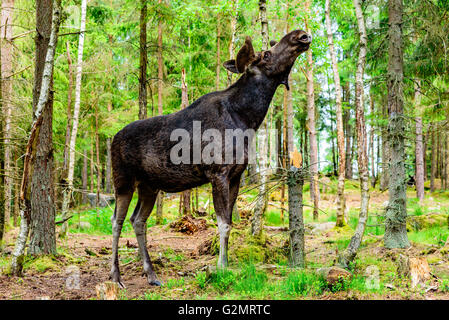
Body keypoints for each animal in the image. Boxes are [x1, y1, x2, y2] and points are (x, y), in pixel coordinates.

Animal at [110, 28, 310, 286]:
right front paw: (221, 267)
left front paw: (225, 264)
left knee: (138, 220)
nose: (300, 34)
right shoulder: (218, 172)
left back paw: (151, 274)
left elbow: (230, 223)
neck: (248, 119)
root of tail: (112, 139)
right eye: (266, 53)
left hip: (149, 185)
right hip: (123, 180)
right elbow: (223, 223)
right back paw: (116, 275)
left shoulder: (236, 175)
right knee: (117, 221)